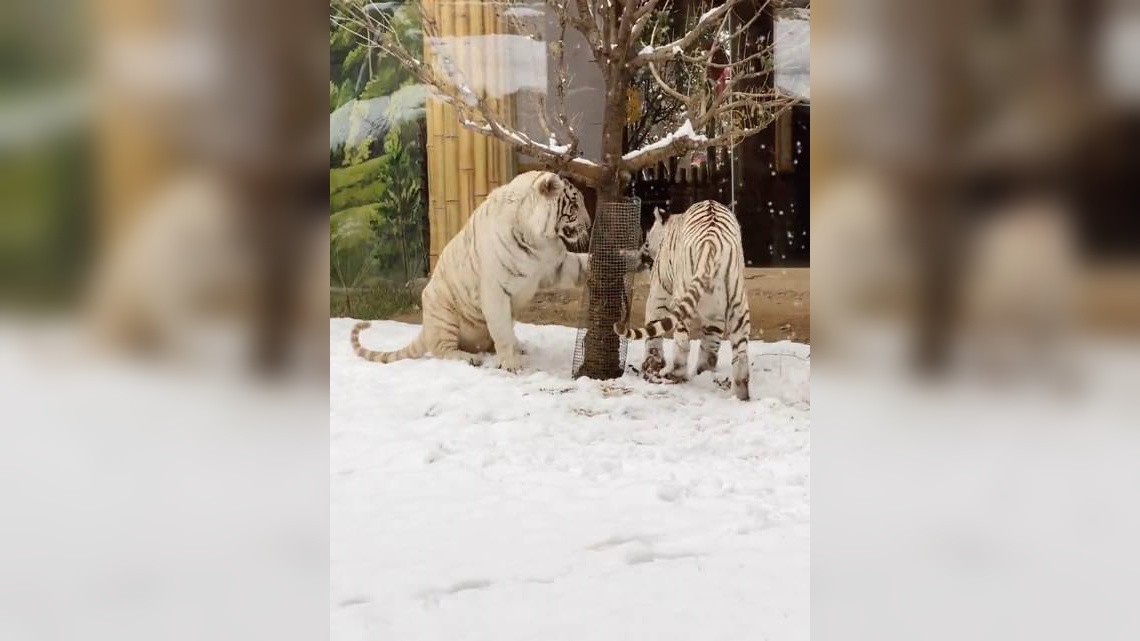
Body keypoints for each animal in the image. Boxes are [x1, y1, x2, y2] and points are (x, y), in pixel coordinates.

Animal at [351, 171, 648, 372]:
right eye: (574, 205)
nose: (588, 225)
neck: (540, 239)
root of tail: (426, 328)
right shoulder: (495, 289)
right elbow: (501, 329)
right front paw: (511, 365)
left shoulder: (555, 265)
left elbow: (587, 262)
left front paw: (634, 257)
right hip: (443, 312)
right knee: (442, 349)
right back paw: (472, 358)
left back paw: (520, 346)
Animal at [615, 200, 752, 400]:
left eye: (647, 243)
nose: (642, 256)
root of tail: (712, 244)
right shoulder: (716, 314)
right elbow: (710, 342)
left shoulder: (659, 290)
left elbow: (653, 328)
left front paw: (652, 361)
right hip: (737, 306)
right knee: (737, 354)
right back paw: (737, 392)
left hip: (681, 299)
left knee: (682, 344)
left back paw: (674, 374)